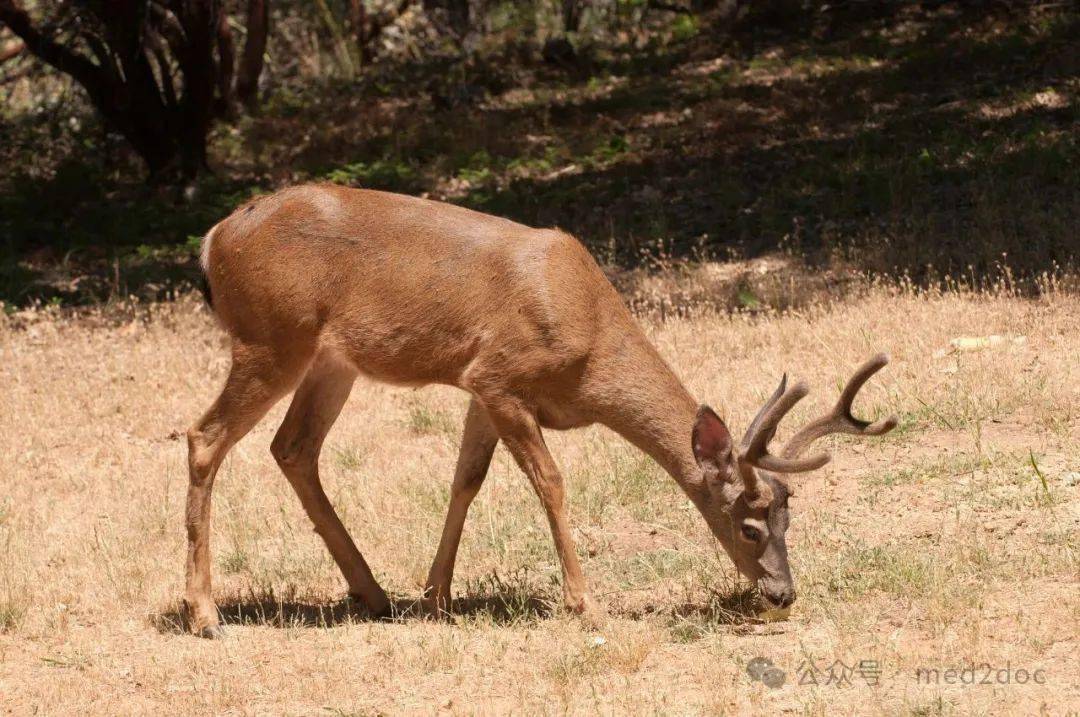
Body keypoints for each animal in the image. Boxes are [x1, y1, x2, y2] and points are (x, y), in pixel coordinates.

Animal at [185, 184, 894, 639]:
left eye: (789, 516)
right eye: (748, 526)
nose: (783, 593)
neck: (590, 349)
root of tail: (212, 240)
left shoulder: (480, 389)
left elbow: (465, 481)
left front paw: (436, 597)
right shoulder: (499, 374)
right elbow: (550, 482)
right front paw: (585, 603)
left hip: (330, 360)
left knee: (293, 447)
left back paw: (374, 593)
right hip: (272, 338)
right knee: (203, 437)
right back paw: (204, 614)